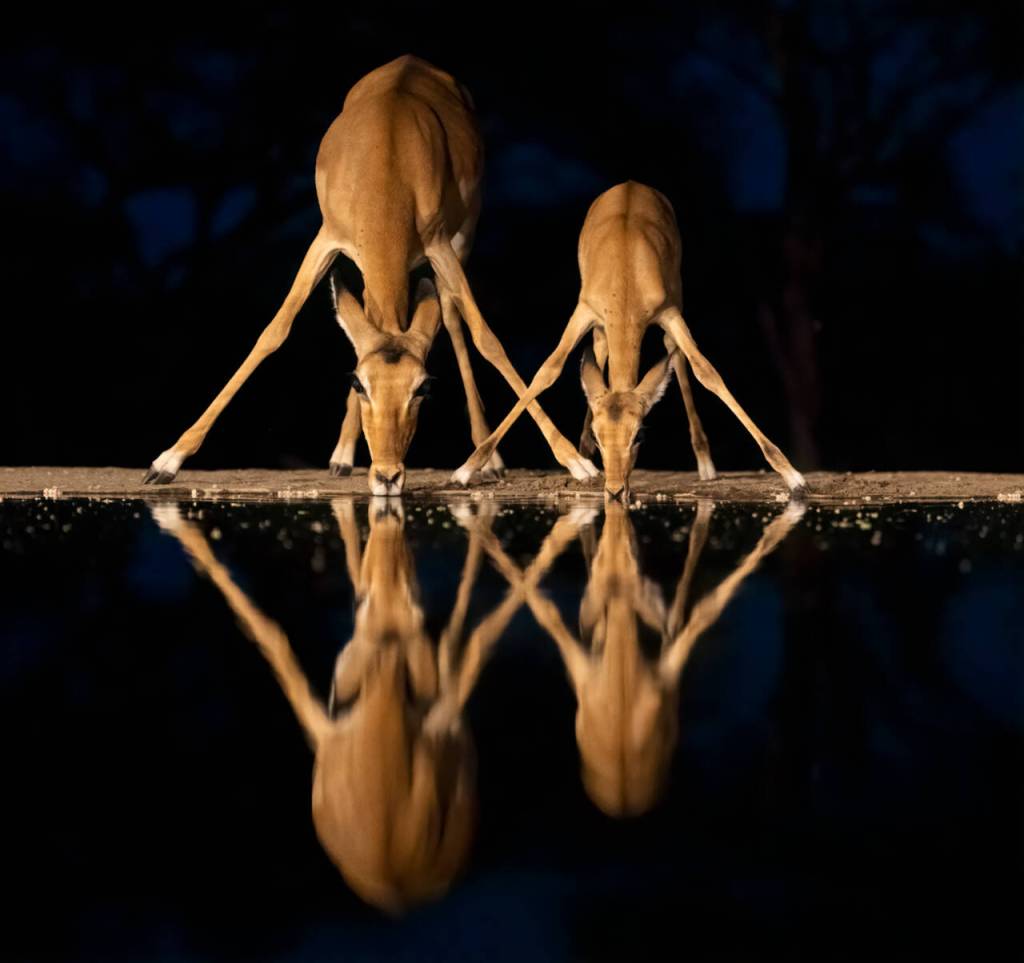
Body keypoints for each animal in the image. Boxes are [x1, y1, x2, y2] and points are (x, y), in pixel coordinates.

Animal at [143, 56, 598, 496]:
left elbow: (488, 340)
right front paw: (166, 461)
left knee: (452, 320)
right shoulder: (327, 239)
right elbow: (274, 332)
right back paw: (343, 455)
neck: (389, 160)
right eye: (359, 384)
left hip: (462, 237)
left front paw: (576, 462)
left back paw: (488, 460)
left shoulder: (440, 246)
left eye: (423, 388)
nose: (388, 476)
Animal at [451, 181, 807, 501]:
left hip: (674, 299)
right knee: (597, 353)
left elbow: (707, 373)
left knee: (673, 354)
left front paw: (793, 476)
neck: (625, 275)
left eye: (639, 436)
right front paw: (467, 469)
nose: (614, 490)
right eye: (600, 436)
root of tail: (631, 184)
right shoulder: (583, 311)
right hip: (598, 325)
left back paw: (705, 464)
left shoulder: (670, 313)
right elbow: (547, 372)